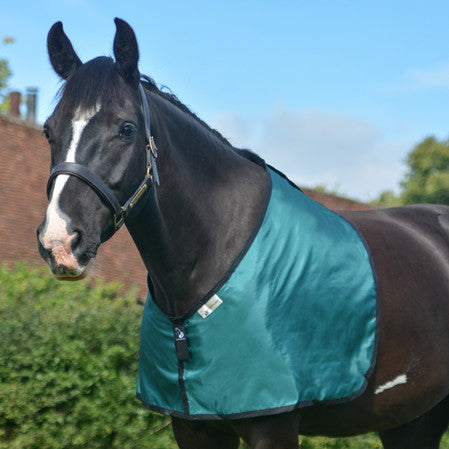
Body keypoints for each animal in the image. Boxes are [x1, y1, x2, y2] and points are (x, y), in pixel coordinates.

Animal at [37, 17, 449, 448]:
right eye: (49, 130)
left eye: (127, 129)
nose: (60, 241)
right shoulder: (193, 428)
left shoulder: (273, 424)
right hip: (410, 419)